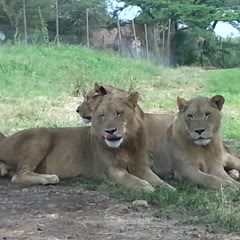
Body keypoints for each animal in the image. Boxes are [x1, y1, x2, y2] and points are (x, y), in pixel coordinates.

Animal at [0, 91, 174, 192]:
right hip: (41, 133)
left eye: (119, 113)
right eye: (102, 116)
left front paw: (168, 187)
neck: (126, 145)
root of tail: (5, 140)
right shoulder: (113, 170)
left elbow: (156, 179)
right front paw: (145, 186)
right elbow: (131, 179)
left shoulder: (141, 166)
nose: (110, 131)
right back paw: (50, 178)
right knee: (19, 175)